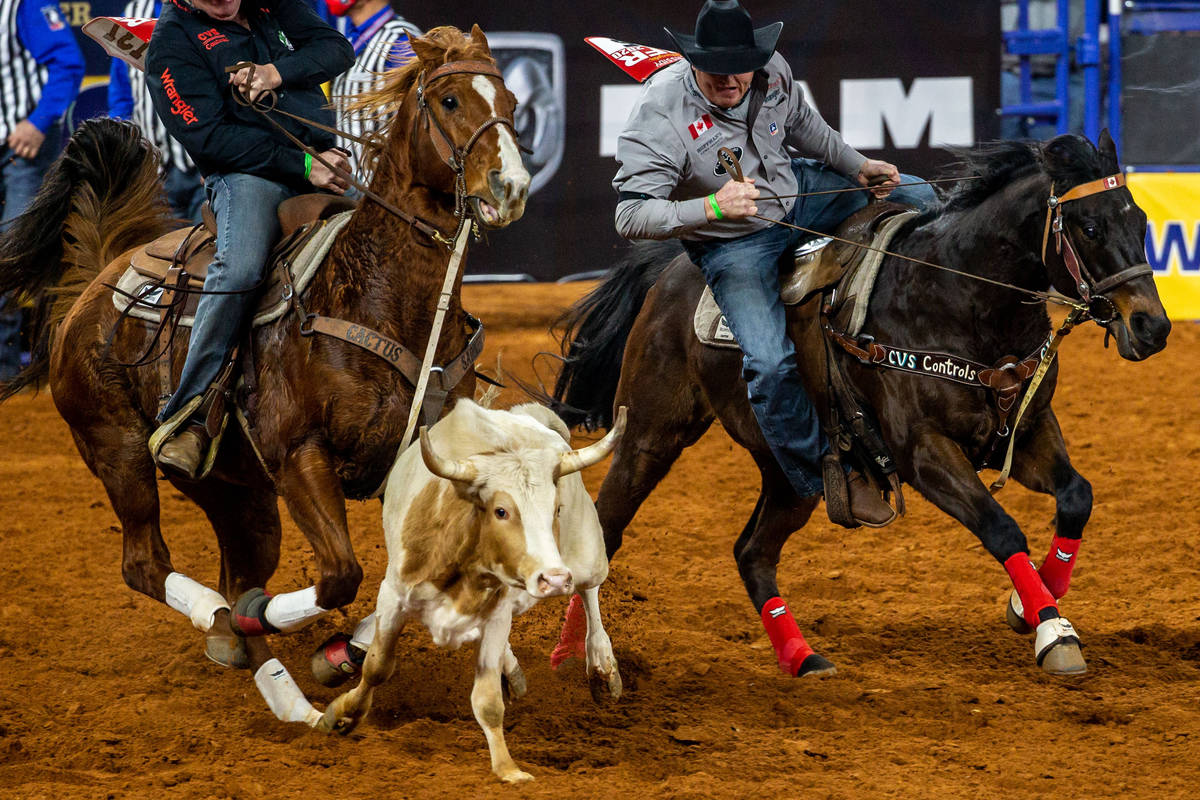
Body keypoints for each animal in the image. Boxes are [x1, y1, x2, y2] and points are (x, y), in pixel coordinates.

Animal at [0, 23, 530, 714]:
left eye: (511, 102)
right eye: (449, 101)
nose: (510, 186)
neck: (382, 298)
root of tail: (98, 281)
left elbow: (421, 574)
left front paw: (347, 652)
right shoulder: (300, 455)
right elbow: (342, 575)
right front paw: (313, 646)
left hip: (233, 486)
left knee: (238, 559)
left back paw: (240, 645)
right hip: (118, 450)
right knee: (145, 562)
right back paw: (234, 629)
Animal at [552, 133, 1171, 681]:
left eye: (1140, 221)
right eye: (1089, 226)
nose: (1152, 326)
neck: (956, 300)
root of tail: (670, 269)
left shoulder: (1030, 429)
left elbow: (1077, 498)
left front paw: (1030, 607)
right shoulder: (924, 452)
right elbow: (1002, 528)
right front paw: (1051, 629)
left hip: (792, 472)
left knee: (753, 552)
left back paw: (802, 658)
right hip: (650, 435)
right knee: (607, 533)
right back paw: (571, 657)